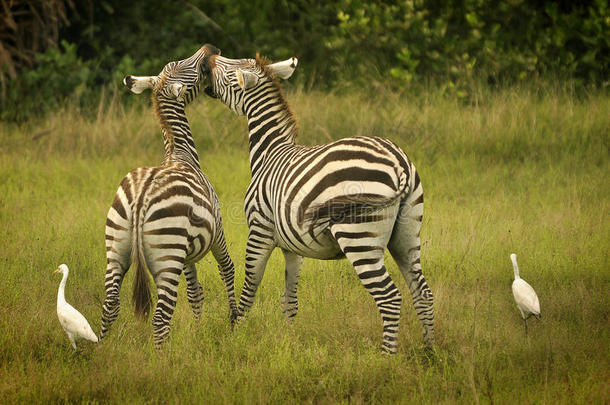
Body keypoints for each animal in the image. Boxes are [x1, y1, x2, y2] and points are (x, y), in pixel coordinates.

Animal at [100, 45, 238, 348]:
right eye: (189, 65)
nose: (211, 49)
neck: (179, 152)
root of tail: (141, 198)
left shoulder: (188, 253)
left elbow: (196, 292)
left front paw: (198, 332)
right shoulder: (217, 230)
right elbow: (227, 268)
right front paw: (235, 321)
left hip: (116, 250)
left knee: (109, 306)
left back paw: (97, 350)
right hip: (168, 258)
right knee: (161, 317)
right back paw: (163, 358)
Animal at [202, 52, 434, 352]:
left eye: (229, 70)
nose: (208, 57)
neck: (269, 153)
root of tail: (399, 163)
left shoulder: (259, 229)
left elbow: (249, 289)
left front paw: (236, 335)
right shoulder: (292, 245)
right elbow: (289, 301)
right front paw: (288, 343)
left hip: (359, 237)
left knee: (390, 298)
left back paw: (387, 357)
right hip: (406, 234)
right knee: (423, 292)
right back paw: (430, 352)